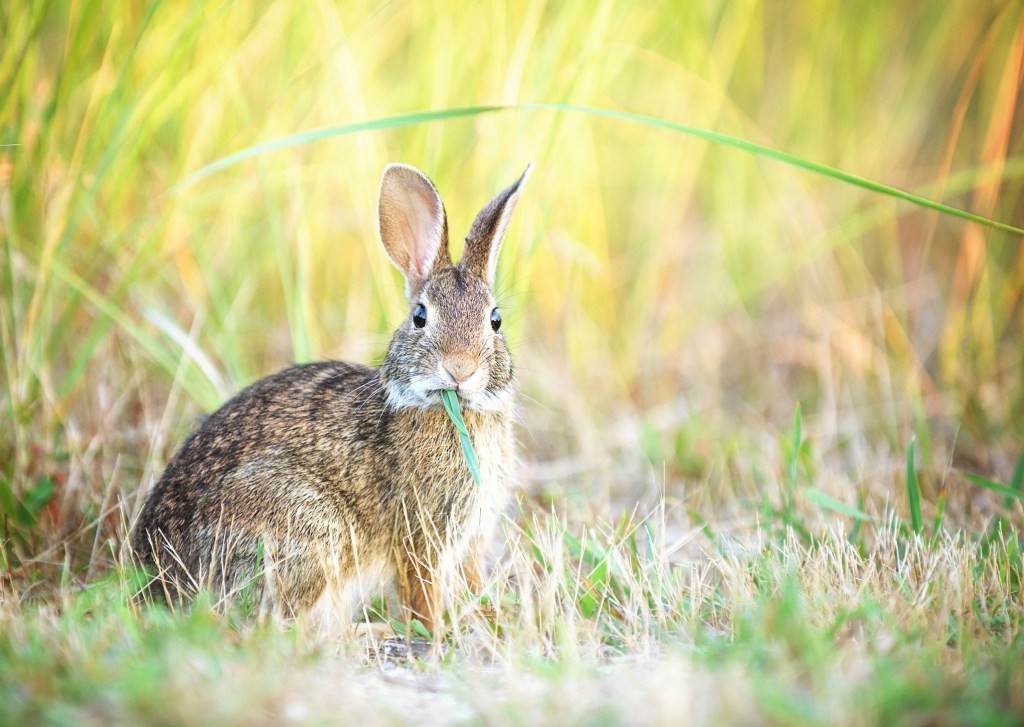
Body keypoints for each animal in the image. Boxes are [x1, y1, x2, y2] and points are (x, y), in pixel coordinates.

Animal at [131, 162, 532, 636]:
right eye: (420, 317)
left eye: (495, 320)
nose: (460, 369)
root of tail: (156, 584)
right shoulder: (419, 532)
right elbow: (422, 590)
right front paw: (437, 631)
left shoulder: (471, 536)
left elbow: (470, 579)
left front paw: (489, 617)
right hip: (305, 527)